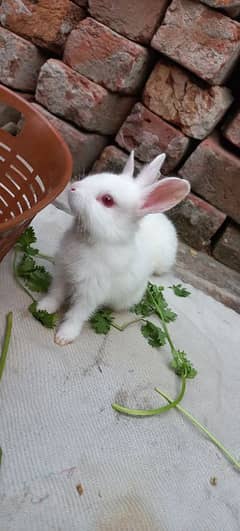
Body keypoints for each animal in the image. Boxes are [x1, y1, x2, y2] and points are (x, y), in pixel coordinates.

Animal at [37, 152, 189, 348]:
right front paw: (43, 308)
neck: (89, 240)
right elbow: (55, 294)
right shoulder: (62, 273)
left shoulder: (91, 292)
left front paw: (64, 337)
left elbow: (77, 315)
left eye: (107, 200)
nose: (73, 188)